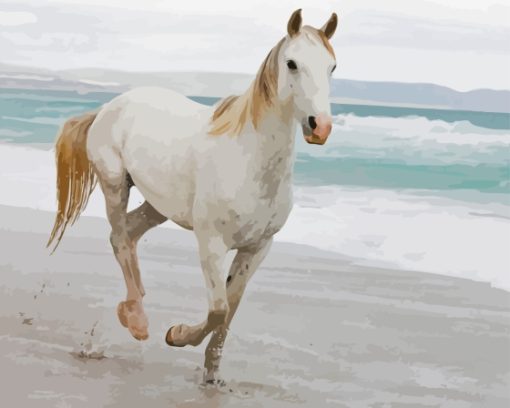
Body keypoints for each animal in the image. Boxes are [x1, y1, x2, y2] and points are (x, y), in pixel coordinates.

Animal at [45, 8, 336, 382]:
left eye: (332, 67)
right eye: (292, 63)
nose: (320, 127)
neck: (248, 159)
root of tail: (110, 106)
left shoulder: (257, 248)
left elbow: (230, 311)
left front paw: (212, 375)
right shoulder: (211, 242)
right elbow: (218, 309)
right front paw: (176, 335)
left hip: (158, 205)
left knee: (127, 234)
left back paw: (133, 308)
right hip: (114, 185)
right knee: (120, 238)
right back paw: (138, 321)